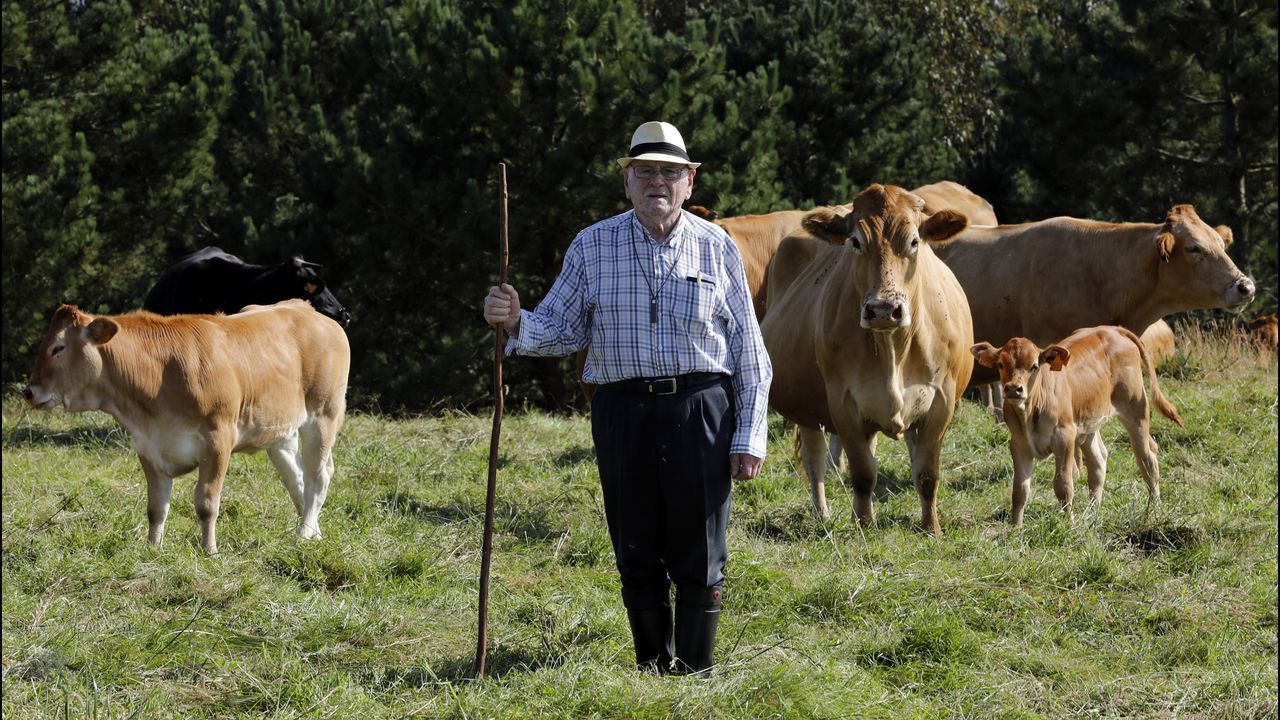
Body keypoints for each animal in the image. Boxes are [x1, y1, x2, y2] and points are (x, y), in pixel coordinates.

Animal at [21, 297, 350, 548]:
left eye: (58, 348)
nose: (28, 391)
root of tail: (305, 309)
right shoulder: (148, 445)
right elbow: (156, 508)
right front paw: (153, 549)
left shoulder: (218, 439)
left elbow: (206, 503)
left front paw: (209, 550)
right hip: (279, 433)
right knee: (297, 478)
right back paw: (314, 531)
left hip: (323, 415)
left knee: (318, 475)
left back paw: (304, 533)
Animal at [757, 184, 967, 532]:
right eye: (855, 242)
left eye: (914, 241)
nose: (883, 309)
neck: (893, 349)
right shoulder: (842, 402)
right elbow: (863, 473)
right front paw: (865, 524)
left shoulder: (942, 401)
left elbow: (926, 473)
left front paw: (931, 527)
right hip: (808, 408)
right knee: (816, 461)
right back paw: (823, 515)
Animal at [972, 326, 1182, 527]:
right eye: (1000, 364)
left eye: (1034, 366)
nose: (1013, 389)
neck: (1030, 413)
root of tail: (1114, 329)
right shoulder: (1019, 444)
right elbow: (1019, 490)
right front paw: (1016, 529)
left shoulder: (1064, 438)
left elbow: (1063, 486)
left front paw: (1069, 524)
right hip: (1089, 422)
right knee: (1098, 462)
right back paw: (1093, 513)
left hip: (1136, 408)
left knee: (1147, 459)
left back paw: (1155, 507)